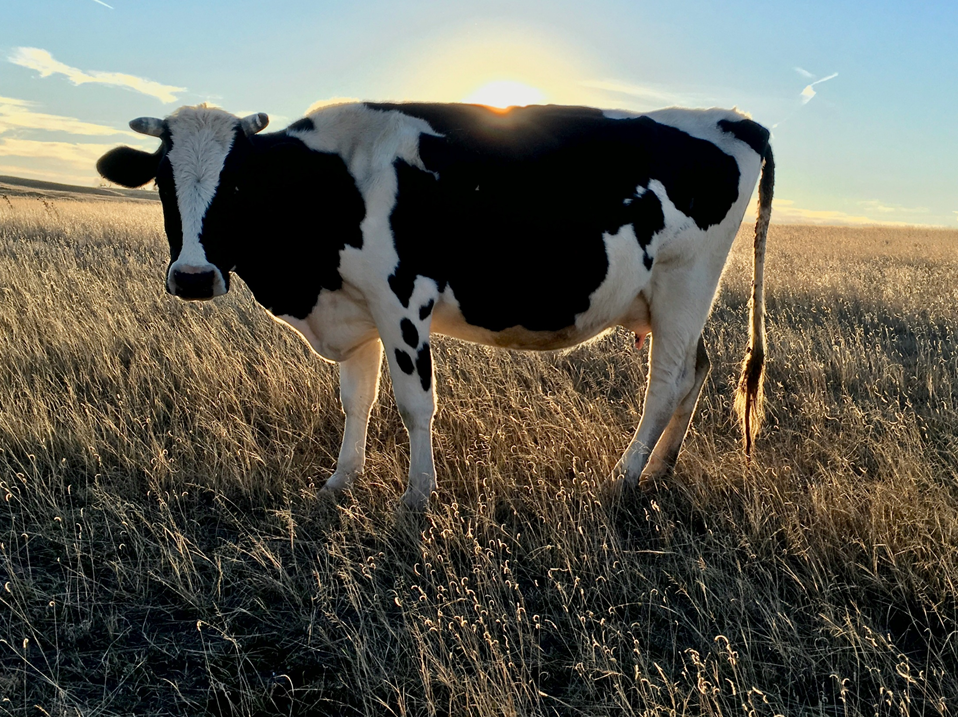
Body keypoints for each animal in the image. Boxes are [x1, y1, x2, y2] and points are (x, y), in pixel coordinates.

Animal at [95, 100, 772, 512]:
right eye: (162, 181)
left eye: (238, 182)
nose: (192, 277)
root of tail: (736, 120)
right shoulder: (358, 308)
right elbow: (357, 399)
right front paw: (339, 482)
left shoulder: (401, 301)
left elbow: (415, 403)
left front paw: (417, 497)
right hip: (676, 299)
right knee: (697, 370)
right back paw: (659, 470)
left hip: (686, 282)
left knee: (666, 383)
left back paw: (624, 476)